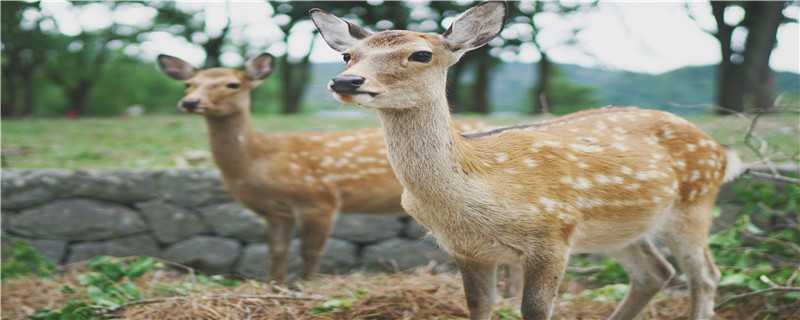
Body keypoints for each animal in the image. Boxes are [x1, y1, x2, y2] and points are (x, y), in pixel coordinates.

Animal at [155, 53, 494, 284]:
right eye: (189, 84)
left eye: (232, 84)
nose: (190, 102)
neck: (259, 160)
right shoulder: (276, 211)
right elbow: (275, 251)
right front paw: (274, 286)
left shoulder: (319, 198)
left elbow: (311, 252)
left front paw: (306, 286)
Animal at [310, 1, 744, 318]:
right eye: (348, 55)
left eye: (420, 54)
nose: (346, 80)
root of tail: (721, 150)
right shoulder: (467, 251)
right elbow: (479, 307)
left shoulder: (553, 234)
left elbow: (534, 310)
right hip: (618, 228)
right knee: (656, 273)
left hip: (694, 204)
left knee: (705, 275)